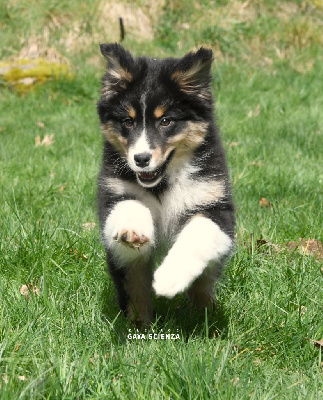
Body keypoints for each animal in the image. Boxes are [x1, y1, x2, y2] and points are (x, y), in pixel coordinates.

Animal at [96, 43, 235, 324]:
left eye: (166, 121)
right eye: (128, 121)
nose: (141, 159)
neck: (163, 183)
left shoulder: (216, 206)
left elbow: (197, 233)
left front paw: (169, 279)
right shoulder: (114, 191)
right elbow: (128, 208)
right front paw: (132, 230)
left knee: (203, 284)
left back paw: (205, 313)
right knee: (135, 286)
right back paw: (140, 322)